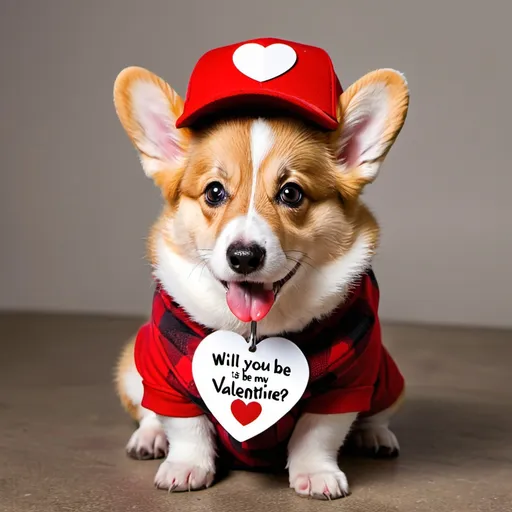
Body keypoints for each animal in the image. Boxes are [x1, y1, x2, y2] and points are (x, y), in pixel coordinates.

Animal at [111, 37, 408, 500]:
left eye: (291, 193)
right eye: (214, 192)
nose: (245, 256)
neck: (255, 330)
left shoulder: (348, 383)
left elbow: (317, 433)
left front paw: (316, 474)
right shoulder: (164, 374)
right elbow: (186, 426)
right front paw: (186, 466)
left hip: (388, 375)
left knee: (377, 413)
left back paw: (374, 436)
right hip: (132, 365)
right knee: (146, 410)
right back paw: (149, 437)